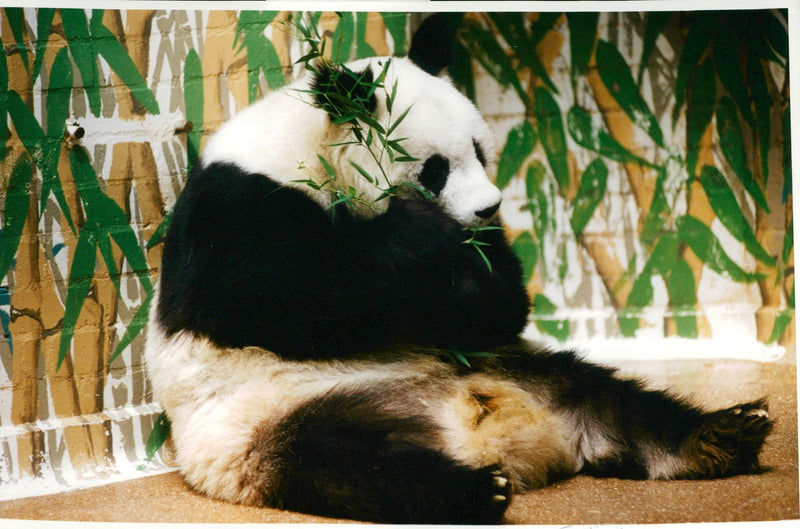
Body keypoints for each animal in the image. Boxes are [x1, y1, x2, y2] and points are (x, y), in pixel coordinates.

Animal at [145, 16, 776, 524]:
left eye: (479, 148)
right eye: (434, 169)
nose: (489, 208)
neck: (307, 148)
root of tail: (486, 436)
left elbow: (498, 307)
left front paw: (470, 268)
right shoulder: (238, 206)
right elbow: (275, 298)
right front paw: (418, 234)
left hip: (523, 369)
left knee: (619, 402)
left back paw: (723, 432)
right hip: (260, 424)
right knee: (349, 465)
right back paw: (473, 492)